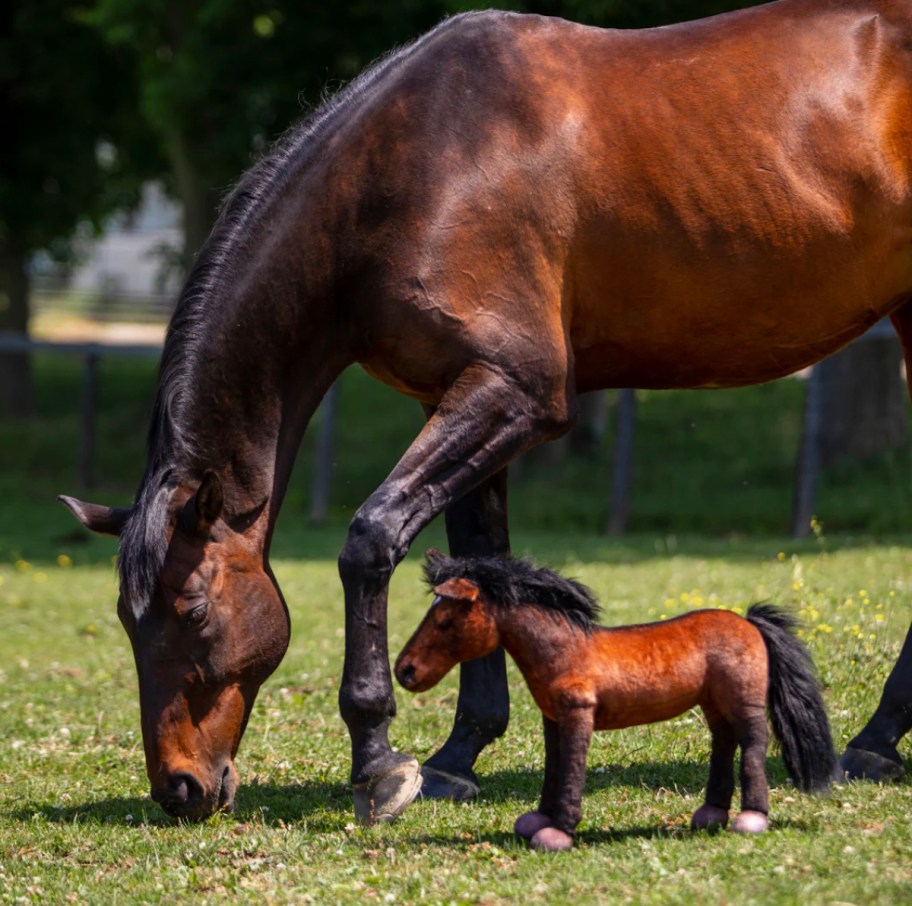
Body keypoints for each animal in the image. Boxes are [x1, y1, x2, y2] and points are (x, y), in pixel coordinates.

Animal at [62, 0, 912, 820]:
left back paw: (874, 743)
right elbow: (479, 560)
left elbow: (371, 540)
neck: (420, 165)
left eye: (195, 612)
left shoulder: (516, 394)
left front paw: (380, 763)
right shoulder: (459, 400)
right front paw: (458, 754)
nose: (179, 788)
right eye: (127, 619)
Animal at [396, 548, 836, 852]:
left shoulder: (579, 715)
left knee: (754, 744)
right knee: (723, 742)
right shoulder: (552, 718)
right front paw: (538, 820)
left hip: (743, 703)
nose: (405, 670)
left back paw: (751, 818)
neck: (566, 651)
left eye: (445, 621)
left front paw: (559, 832)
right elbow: (554, 766)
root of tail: (749, 622)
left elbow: (572, 768)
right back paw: (710, 814)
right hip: (714, 704)